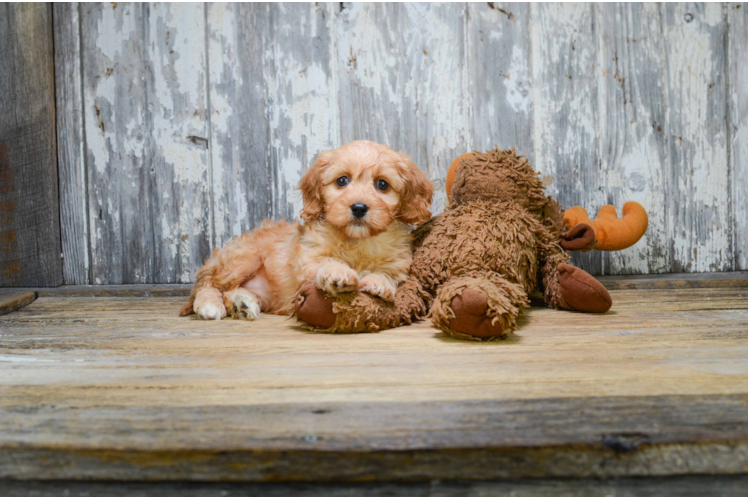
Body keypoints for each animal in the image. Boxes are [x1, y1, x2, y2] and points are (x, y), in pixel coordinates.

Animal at [179, 140, 432, 320]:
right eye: (342, 181)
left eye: (382, 184)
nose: (359, 207)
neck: (357, 240)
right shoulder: (308, 258)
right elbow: (327, 261)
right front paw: (339, 274)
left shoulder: (399, 263)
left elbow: (388, 273)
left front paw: (379, 283)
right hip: (241, 260)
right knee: (207, 284)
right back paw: (210, 305)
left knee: (231, 291)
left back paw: (241, 303)